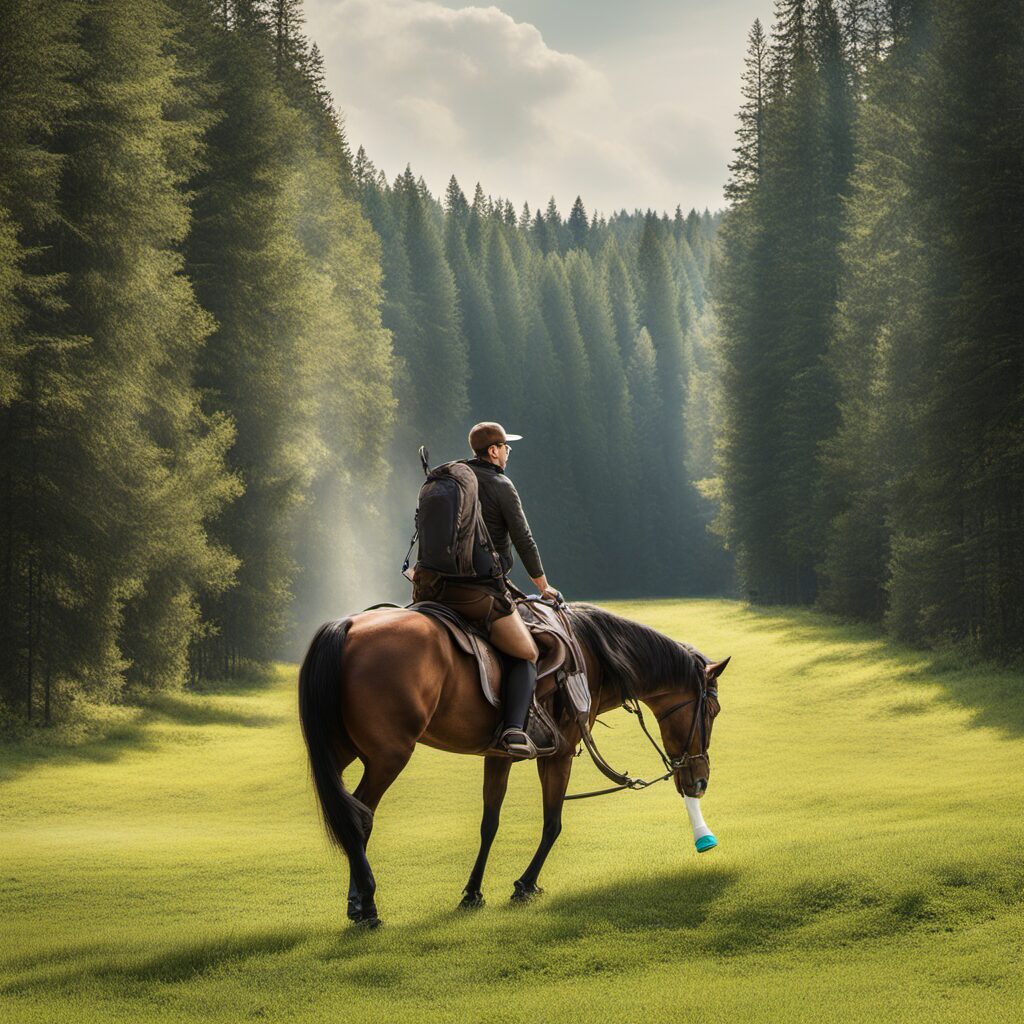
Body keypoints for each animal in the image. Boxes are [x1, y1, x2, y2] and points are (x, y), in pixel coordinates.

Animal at [298, 601, 729, 927]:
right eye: (712, 710)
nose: (700, 781)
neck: (591, 654)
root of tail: (348, 625)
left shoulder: (498, 755)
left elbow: (489, 823)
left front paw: (473, 892)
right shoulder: (559, 755)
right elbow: (553, 823)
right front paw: (525, 884)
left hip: (341, 752)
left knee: (350, 812)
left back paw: (357, 900)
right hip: (388, 757)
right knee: (360, 816)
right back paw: (367, 905)